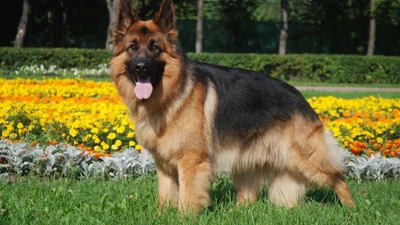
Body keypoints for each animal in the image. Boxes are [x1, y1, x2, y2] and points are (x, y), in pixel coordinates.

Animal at [109, 0, 354, 214]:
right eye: (132, 47)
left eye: (155, 48)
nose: (141, 67)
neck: (170, 95)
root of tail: (300, 97)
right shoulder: (164, 165)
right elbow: (165, 196)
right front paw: (161, 217)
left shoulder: (191, 162)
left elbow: (187, 198)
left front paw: (183, 218)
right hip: (248, 160)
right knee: (249, 196)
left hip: (306, 158)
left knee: (339, 178)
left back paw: (352, 208)